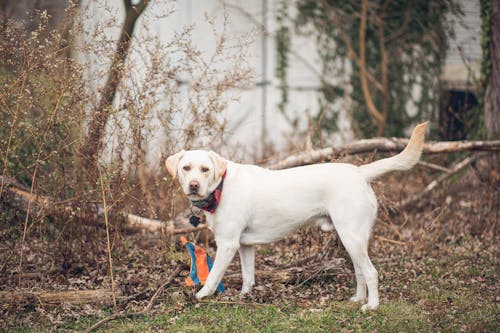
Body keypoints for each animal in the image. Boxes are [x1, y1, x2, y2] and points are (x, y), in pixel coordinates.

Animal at [166, 121, 428, 308]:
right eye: (186, 168)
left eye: (205, 169)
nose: (194, 185)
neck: (221, 187)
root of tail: (359, 171)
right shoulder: (245, 245)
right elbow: (248, 276)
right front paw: (245, 296)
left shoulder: (228, 244)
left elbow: (213, 277)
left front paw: (201, 295)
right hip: (351, 238)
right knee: (360, 271)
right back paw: (358, 299)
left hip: (351, 237)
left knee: (371, 272)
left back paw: (371, 306)